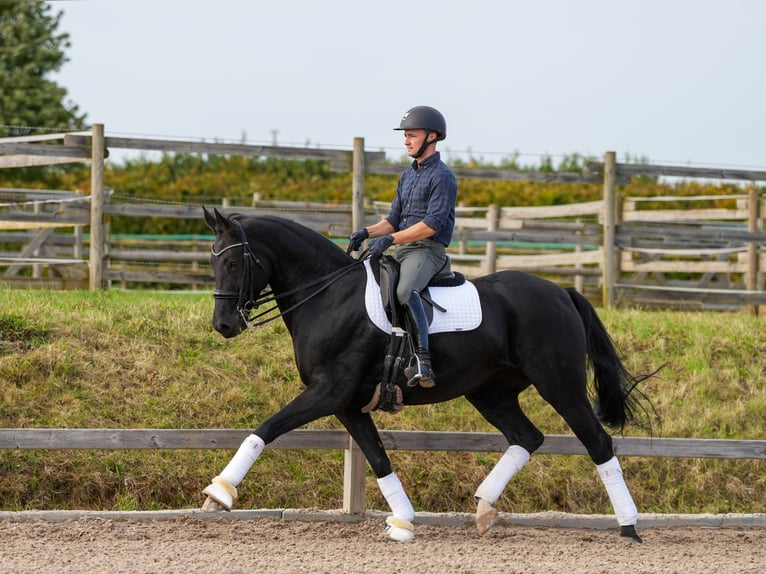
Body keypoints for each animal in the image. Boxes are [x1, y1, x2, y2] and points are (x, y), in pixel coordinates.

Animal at [200, 210, 656, 544]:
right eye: (212, 259)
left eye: (234, 261)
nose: (223, 325)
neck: (329, 296)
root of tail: (561, 292)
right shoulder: (348, 403)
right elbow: (378, 457)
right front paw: (403, 521)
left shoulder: (329, 391)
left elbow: (266, 428)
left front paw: (219, 493)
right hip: (491, 394)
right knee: (527, 438)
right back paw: (485, 510)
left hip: (560, 387)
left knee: (598, 443)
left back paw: (628, 527)